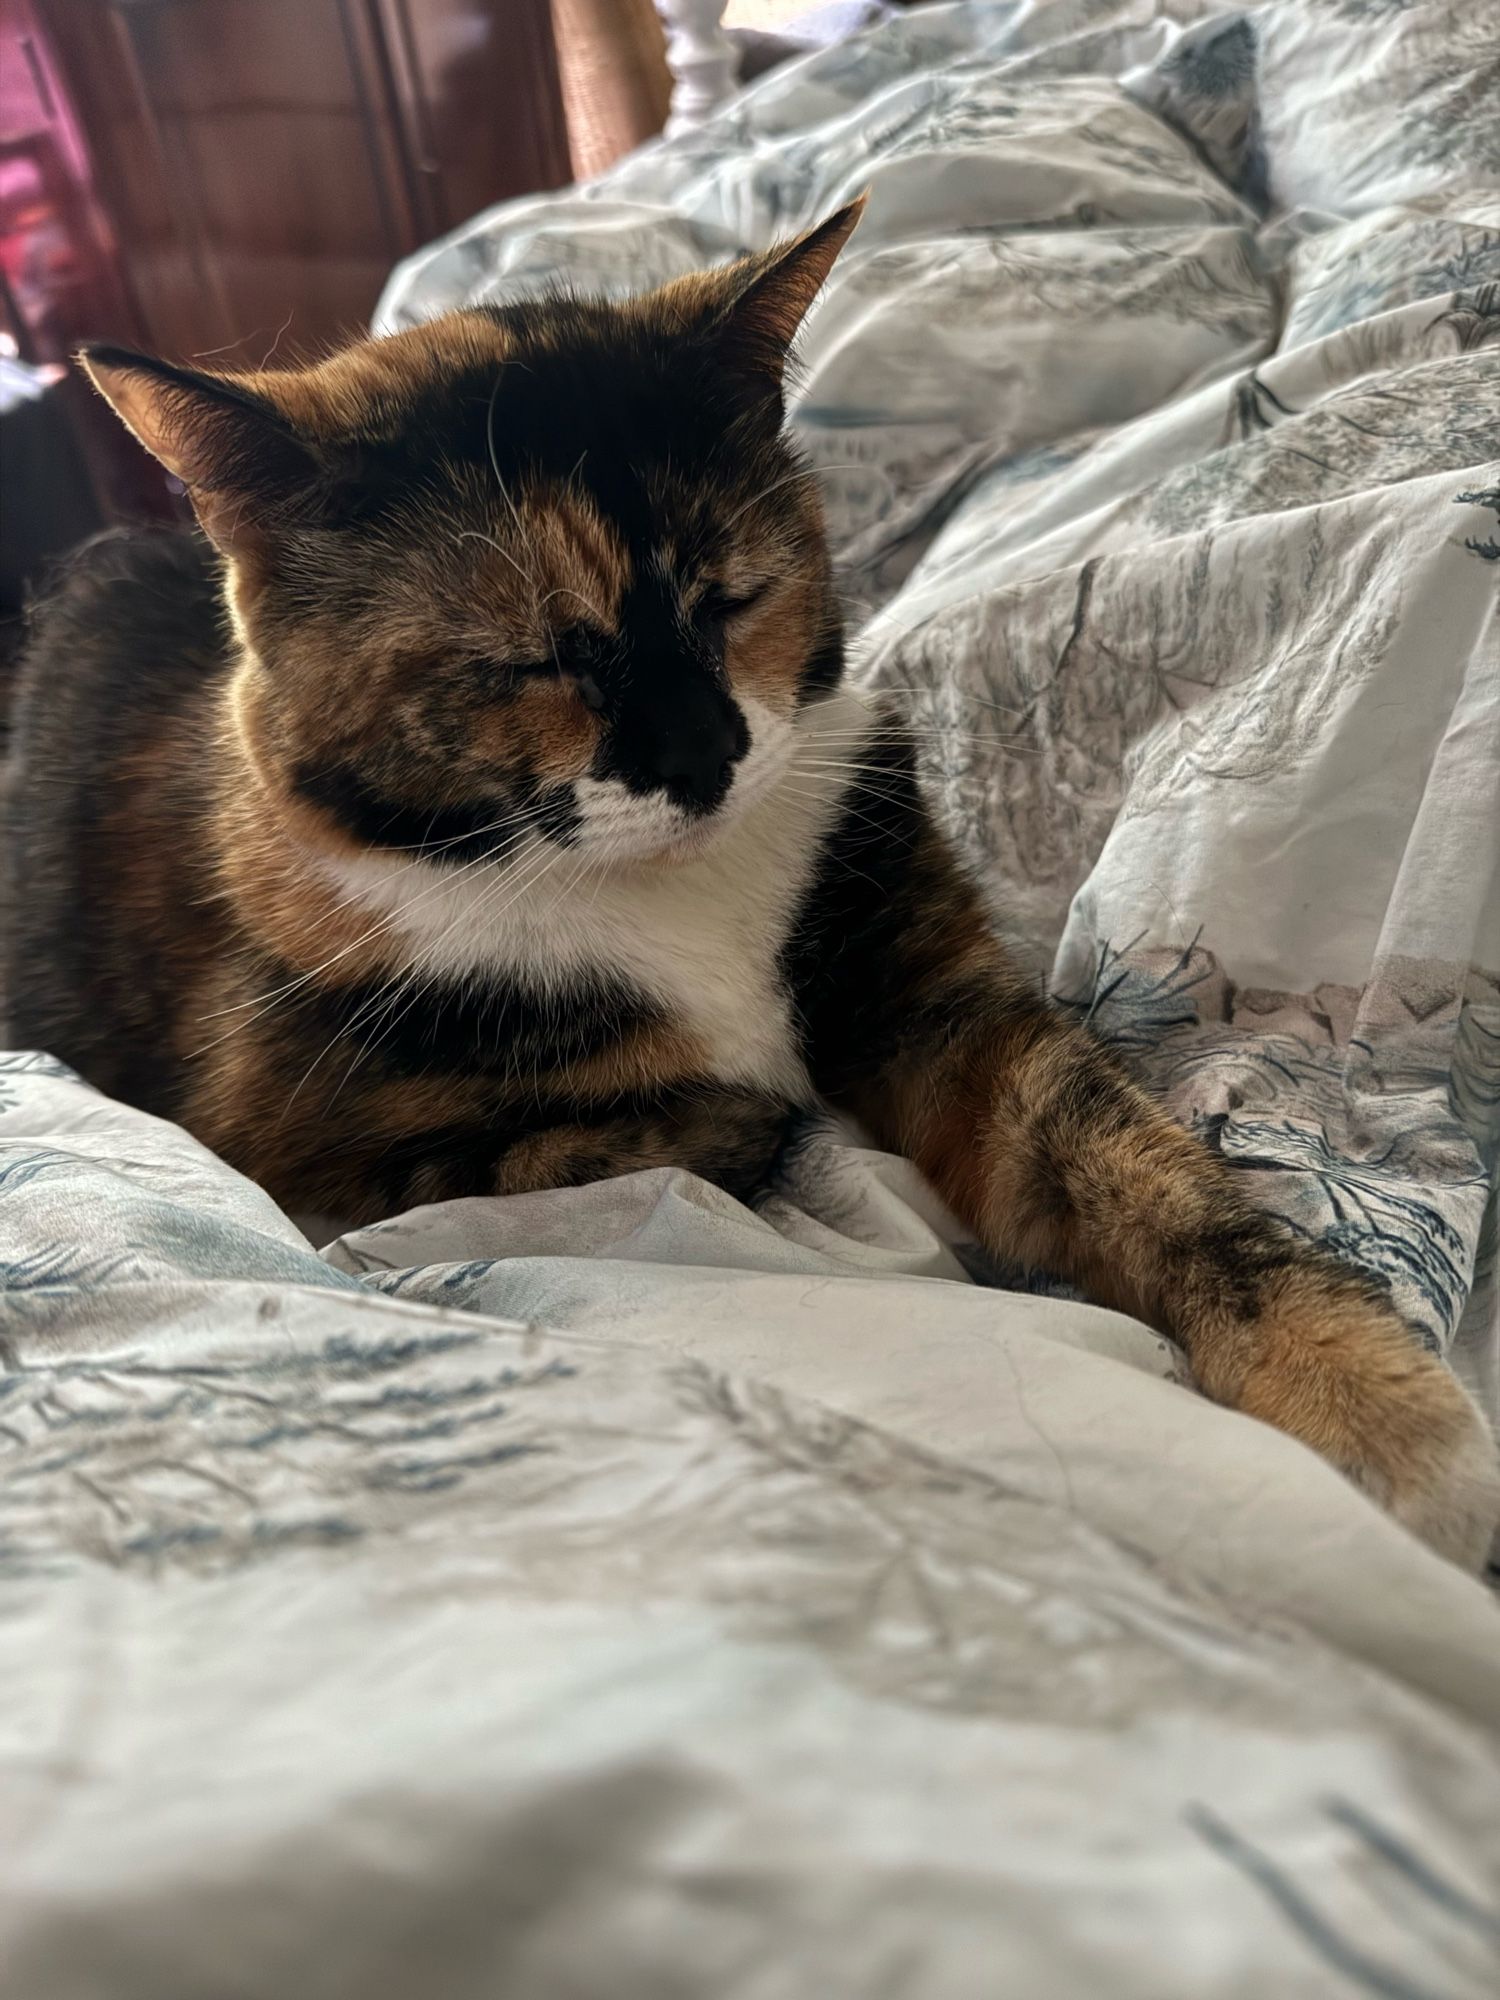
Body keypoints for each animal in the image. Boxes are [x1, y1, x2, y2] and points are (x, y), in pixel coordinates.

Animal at [2, 211, 1500, 1568]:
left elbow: (1137, 1168)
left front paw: (1378, 1408)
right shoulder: (291, 1144)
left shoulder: (939, 1001)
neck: (669, 899)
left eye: (732, 593)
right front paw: (742, 1117)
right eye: (531, 658)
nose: (703, 754)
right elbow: (581, 1139)